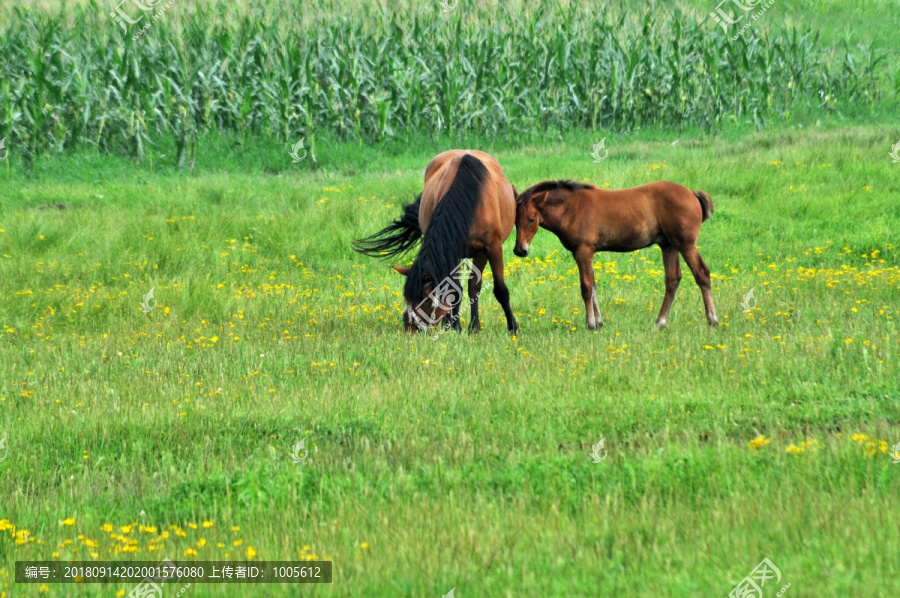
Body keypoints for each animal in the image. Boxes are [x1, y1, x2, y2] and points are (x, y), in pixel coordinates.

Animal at [354, 150, 520, 336]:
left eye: (425, 299)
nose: (410, 328)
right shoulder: (451, 251)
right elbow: (454, 289)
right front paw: (454, 327)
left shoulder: (491, 248)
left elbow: (499, 290)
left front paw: (512, 327)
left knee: (474, 286)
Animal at [512, 182, 716, 332]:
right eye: (515, 220)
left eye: (531, 219)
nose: (520, 250)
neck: (572, 208)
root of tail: (691, 192)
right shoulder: (581, 253)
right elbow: (594, 286)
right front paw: (600, 323)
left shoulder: (584, 251)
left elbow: (586, 288)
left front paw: (590, 324)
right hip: (669, 245)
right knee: (673, 280)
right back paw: (660, 322)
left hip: (685, 243)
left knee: (702, 273)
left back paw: (712, 320)